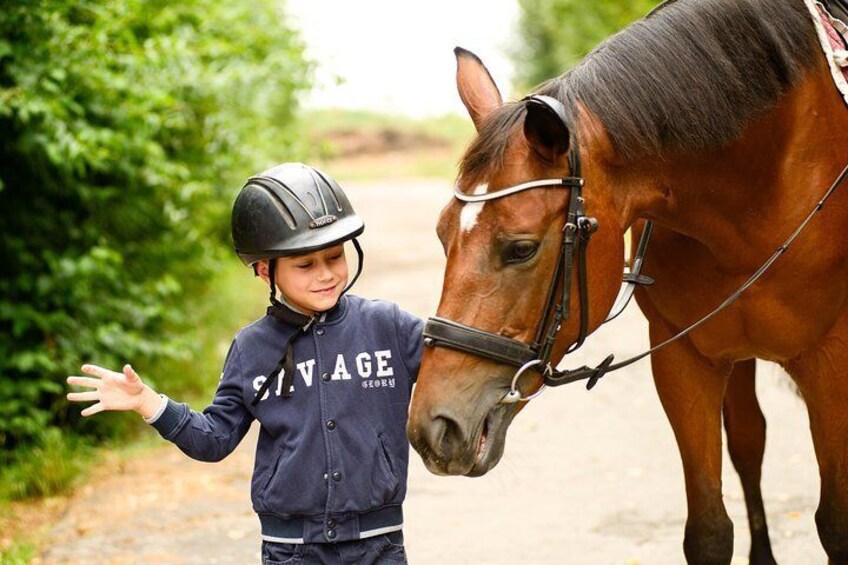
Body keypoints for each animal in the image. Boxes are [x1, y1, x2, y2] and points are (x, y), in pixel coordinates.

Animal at [406, 2, 848, 560]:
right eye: (442, 235)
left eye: (521, 248)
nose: (433, 427)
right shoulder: (683, 357)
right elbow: (708, 530)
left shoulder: (831, 359)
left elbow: (835, 523)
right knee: (750, 439)